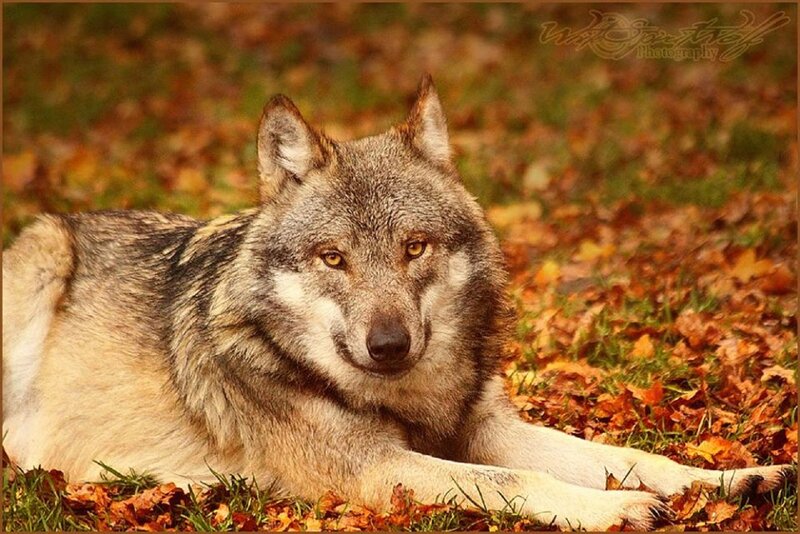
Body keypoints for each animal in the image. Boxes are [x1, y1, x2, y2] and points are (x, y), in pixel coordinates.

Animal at [3, 75, 793, 530]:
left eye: (414, 247)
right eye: (333, 258)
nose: (388, 345)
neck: (412, 401)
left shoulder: (485, 429)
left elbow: (630, 455)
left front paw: (731, 480)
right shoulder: (376, 471)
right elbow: (519, 480)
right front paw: (614, 508)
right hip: (42, 254)